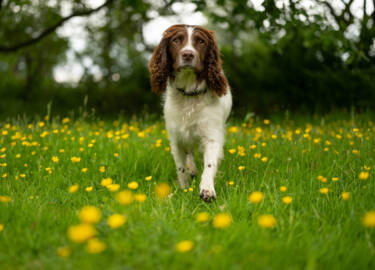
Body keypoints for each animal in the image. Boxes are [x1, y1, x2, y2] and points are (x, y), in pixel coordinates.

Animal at [149, 24, 232, 202]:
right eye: (176, 40)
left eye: (201, 41)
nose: (188, 54)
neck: (189, 95)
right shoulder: (176, 139)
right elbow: (181, 168)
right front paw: (184, 188)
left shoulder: (212, 136)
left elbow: (210, 164)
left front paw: (207, 190)